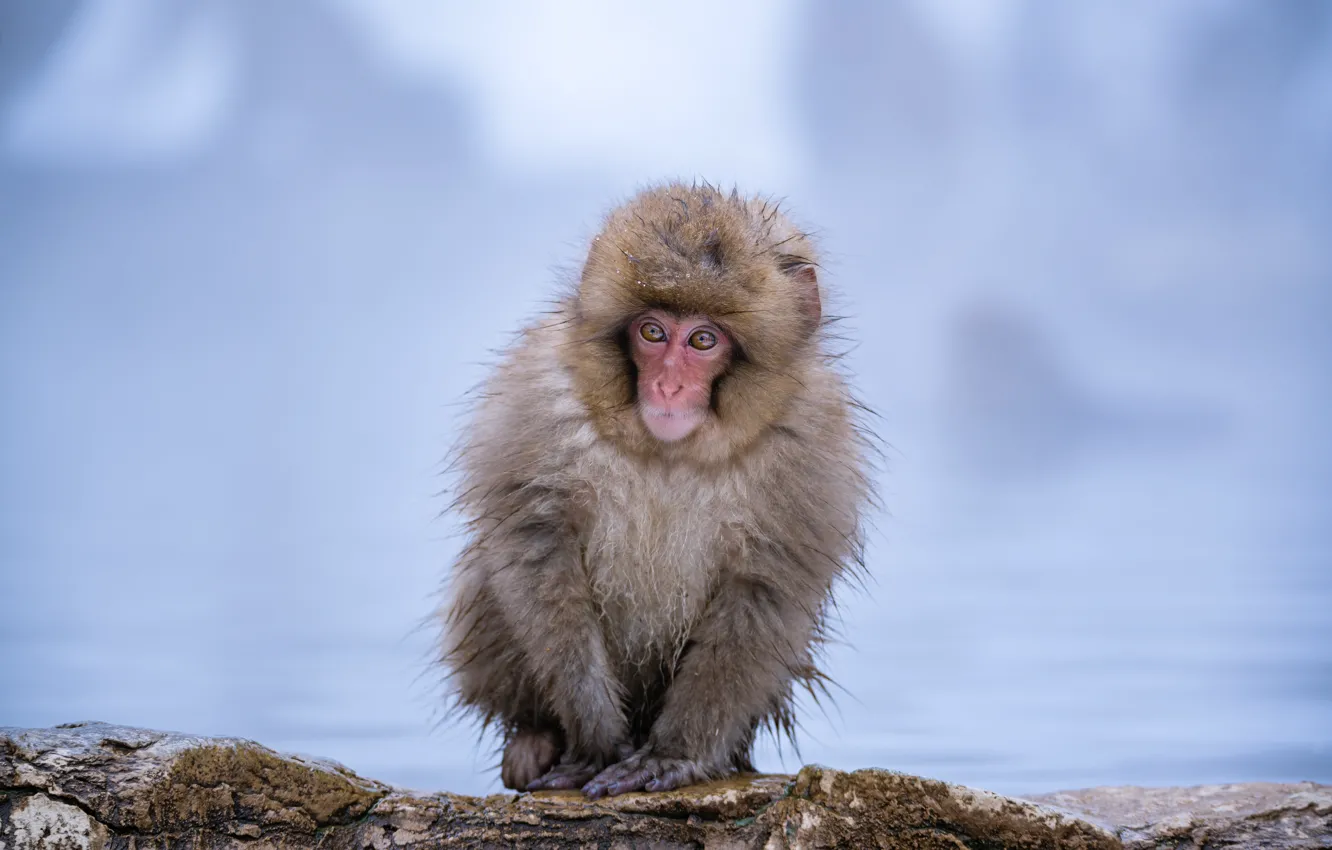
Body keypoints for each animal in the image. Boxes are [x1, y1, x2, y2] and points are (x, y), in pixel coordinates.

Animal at [438, 181, 874, 798]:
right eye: (652, 332)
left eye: (703, 340)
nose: (667, 385)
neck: (674, 450)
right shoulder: (539, 396)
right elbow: (538, 555)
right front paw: (595, 741)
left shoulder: (813, 440)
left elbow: (764, 591)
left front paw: (676, 754)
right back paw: (535, 736)